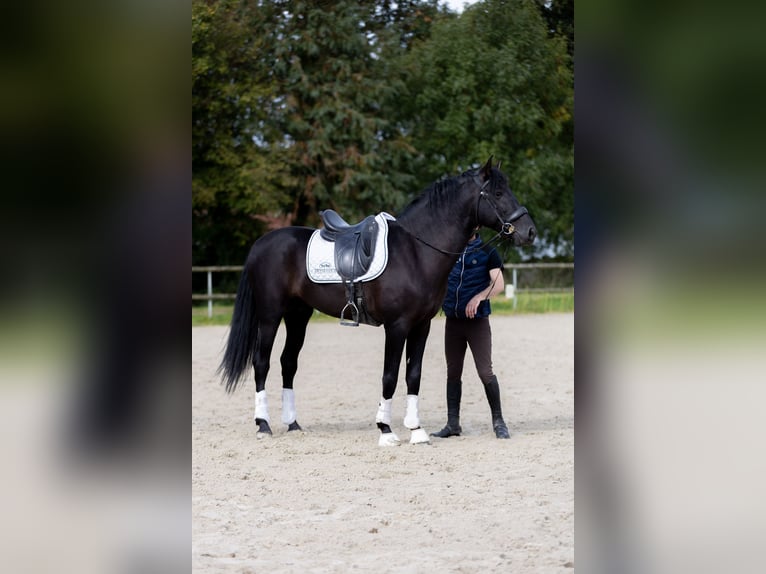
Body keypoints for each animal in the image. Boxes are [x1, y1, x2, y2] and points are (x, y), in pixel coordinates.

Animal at [218, 157, 537, 446]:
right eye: (498, 193)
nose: (530, 232)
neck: (415, 251)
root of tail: (262, 243)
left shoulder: (421, 326)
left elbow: (413, 375)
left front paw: (416, 431)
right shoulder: (396, 326)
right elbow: (390, 376)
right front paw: (386, 430)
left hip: (298, 315)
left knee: (288, 363)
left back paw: (293, 424)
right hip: (270, 316)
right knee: (262, 363)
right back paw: (263, 425)